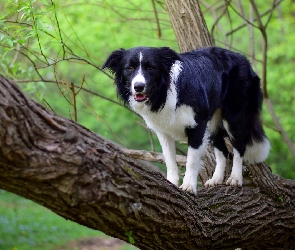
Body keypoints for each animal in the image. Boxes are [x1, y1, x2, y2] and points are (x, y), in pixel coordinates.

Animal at [103, 47, 272, 195]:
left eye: (151, 68)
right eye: (129, 68)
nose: (138, 86)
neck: (164, 93)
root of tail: (244, 60)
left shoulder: (197, 125)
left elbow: (191, 159)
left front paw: (189, 187)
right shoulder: (163, 131)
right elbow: (169, 159)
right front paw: (171, 183)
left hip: (234, 116)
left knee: (239, 147)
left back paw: (235, 179)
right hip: (213, 122)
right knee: (223, 150)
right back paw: (216, 179)